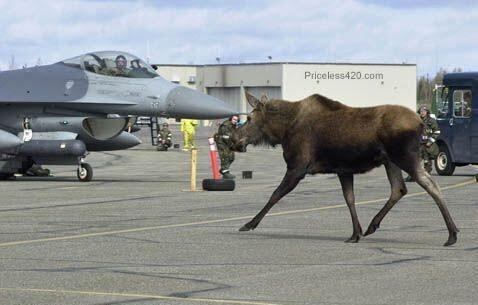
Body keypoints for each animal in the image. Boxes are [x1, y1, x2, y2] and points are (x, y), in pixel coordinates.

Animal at [232, 91, 460, 246]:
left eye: (249, 118)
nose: (235, 140)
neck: (282, 131)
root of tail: (421, 122)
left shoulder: (297, 167)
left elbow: (274, 195)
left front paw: (249, 224)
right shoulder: (343, 170)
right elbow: (349, 199)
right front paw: (355, 233)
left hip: (405, 157)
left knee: (431, 184)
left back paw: (452, 234)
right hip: (390, 161)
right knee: (399, 188)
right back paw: (372, 226)